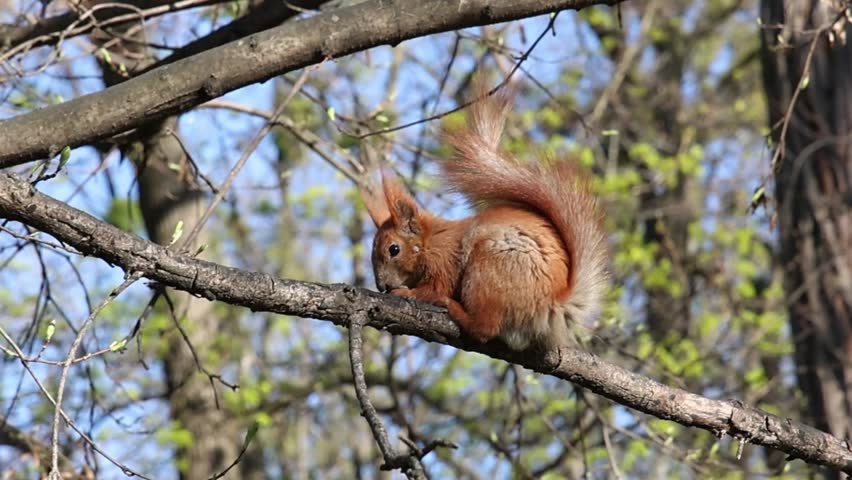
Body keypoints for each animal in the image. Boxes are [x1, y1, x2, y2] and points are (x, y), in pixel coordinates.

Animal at [360, 84, 609, 350]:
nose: (382, 287)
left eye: (394, 249)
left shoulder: (444, 262)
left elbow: (433, 289)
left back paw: (454, 308)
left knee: (484, 328)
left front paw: (408, 294)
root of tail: (553, 302)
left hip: (487, 268)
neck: (430, 242)